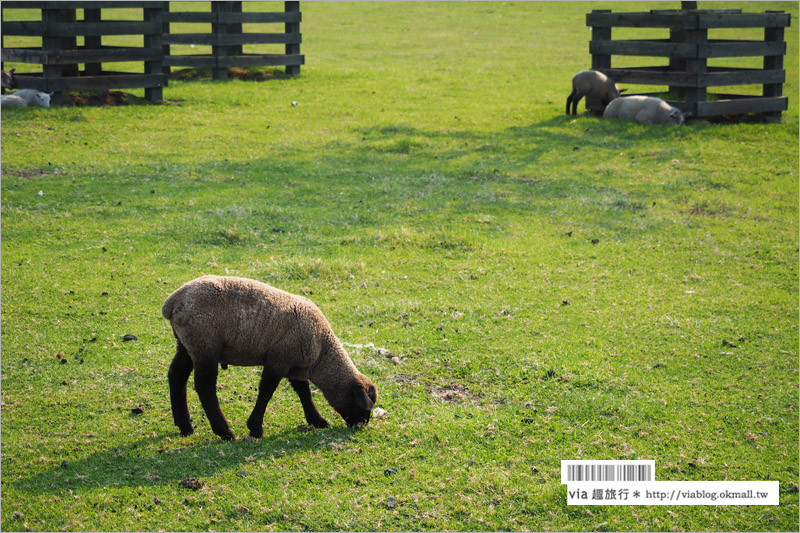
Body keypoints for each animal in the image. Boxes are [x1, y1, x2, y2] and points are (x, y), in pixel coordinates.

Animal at [162, 276, 378, 438]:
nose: (361, 425)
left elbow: (303, 392)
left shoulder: (294, 363)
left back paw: (185, 426)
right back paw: (224, 432)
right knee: (204, 387)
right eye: (365, 408)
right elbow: (267, 390)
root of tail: (173, 302)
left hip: (186, 345)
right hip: (205, 345)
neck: (321, 352)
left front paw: (317, 421)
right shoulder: (279, 359)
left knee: (176, 376)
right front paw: (255, 428)